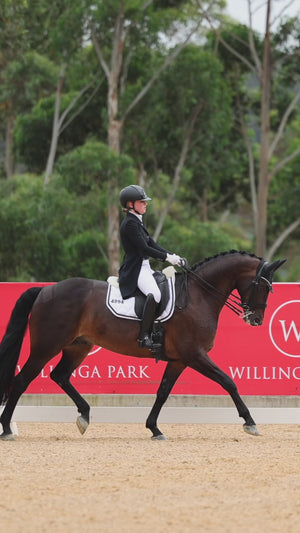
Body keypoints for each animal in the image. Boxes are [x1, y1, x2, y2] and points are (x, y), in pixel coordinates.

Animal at [0, 250, 286, 440]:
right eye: (263, 286)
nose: (256, 319)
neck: (198, 297)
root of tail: (45, 289)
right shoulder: (195, 355)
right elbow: (228, 382)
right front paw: (250, 422)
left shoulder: (179, 360)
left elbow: (163, 392)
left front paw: (154, 428)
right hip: (46, 347)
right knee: (22, 380)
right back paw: (6, 428)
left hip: (77, 346)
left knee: (60, 375)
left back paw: (84, 415)